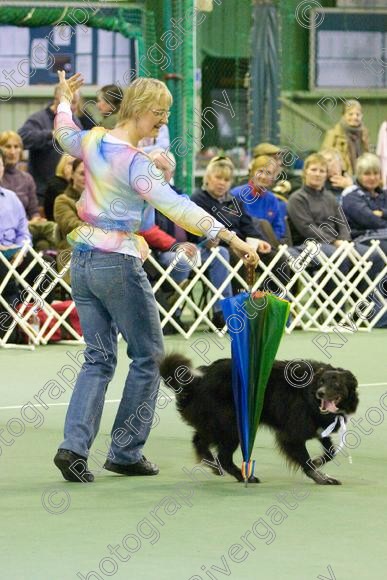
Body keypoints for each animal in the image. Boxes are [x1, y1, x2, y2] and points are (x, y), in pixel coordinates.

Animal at [161, 354, 360, 484]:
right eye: (321, 382)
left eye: (336, 383)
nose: (321, 393)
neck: (308, 393)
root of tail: (198, 380)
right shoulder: (291, 436)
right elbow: (306, 460)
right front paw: (321, 477)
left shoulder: (319, 428)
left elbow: (331, 452)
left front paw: (320, 463)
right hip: (230, 428)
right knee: (222, 456)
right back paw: (241, 475)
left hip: (215, 425)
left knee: (199, 441)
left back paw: (215, 465)